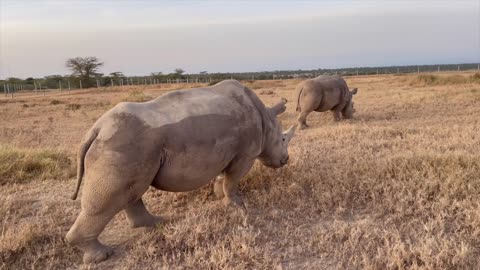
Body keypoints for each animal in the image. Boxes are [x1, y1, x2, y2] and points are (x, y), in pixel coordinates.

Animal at [64, 79, 296, 264]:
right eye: (283, 139)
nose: (285, 160)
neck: (266, 118)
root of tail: (96, 129)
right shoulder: (245, 154)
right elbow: (232, 181)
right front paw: (237, 205)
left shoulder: (226, 151)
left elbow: (223, 177)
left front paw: (219, 195)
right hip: (122, 144)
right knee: (115, 196)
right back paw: (103, 256)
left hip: (125, 146)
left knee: (131, 190)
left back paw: (156, 223)